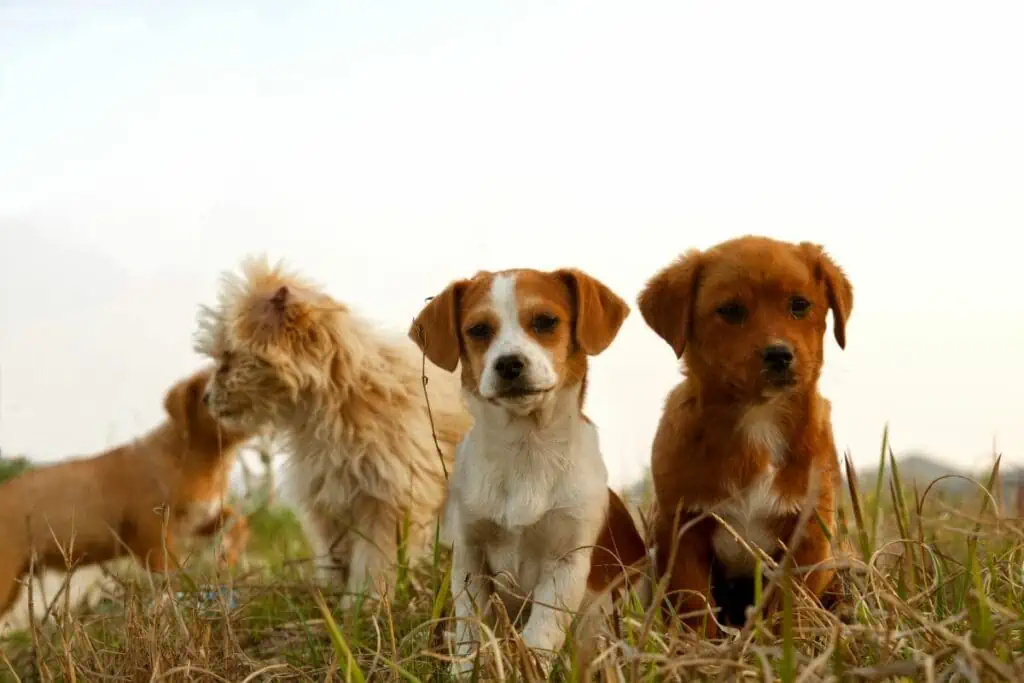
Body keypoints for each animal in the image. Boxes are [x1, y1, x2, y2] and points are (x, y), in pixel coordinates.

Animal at [0, 368, 251, 618]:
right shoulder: (150, 530)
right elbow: (168, 571)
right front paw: (169, 606)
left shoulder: (201, 516)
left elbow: (238, 521)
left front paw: (229, 557)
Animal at [192, 258, 471, 610]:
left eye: (228, 357)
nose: (206, 398)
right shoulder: (328, 499)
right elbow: (336, 556)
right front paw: (337, 599)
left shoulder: (388, 499)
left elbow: (374, 560)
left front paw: (365, 604)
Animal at [409, 266, 643, 671]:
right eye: (478, 329)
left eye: (546, 321)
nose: (508, 363)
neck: (527, 450)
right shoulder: (470, 554)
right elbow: (472, 629)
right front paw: (466, 670)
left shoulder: (567, 562)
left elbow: (541, 634)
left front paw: (529, 668)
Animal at [638, 235, 847, 634]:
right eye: (731, 311)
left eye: (799, 305)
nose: (779, 355)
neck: (759, 420)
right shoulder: (682, 530)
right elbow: (694, 605)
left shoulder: (809, 535)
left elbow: (790, 609)